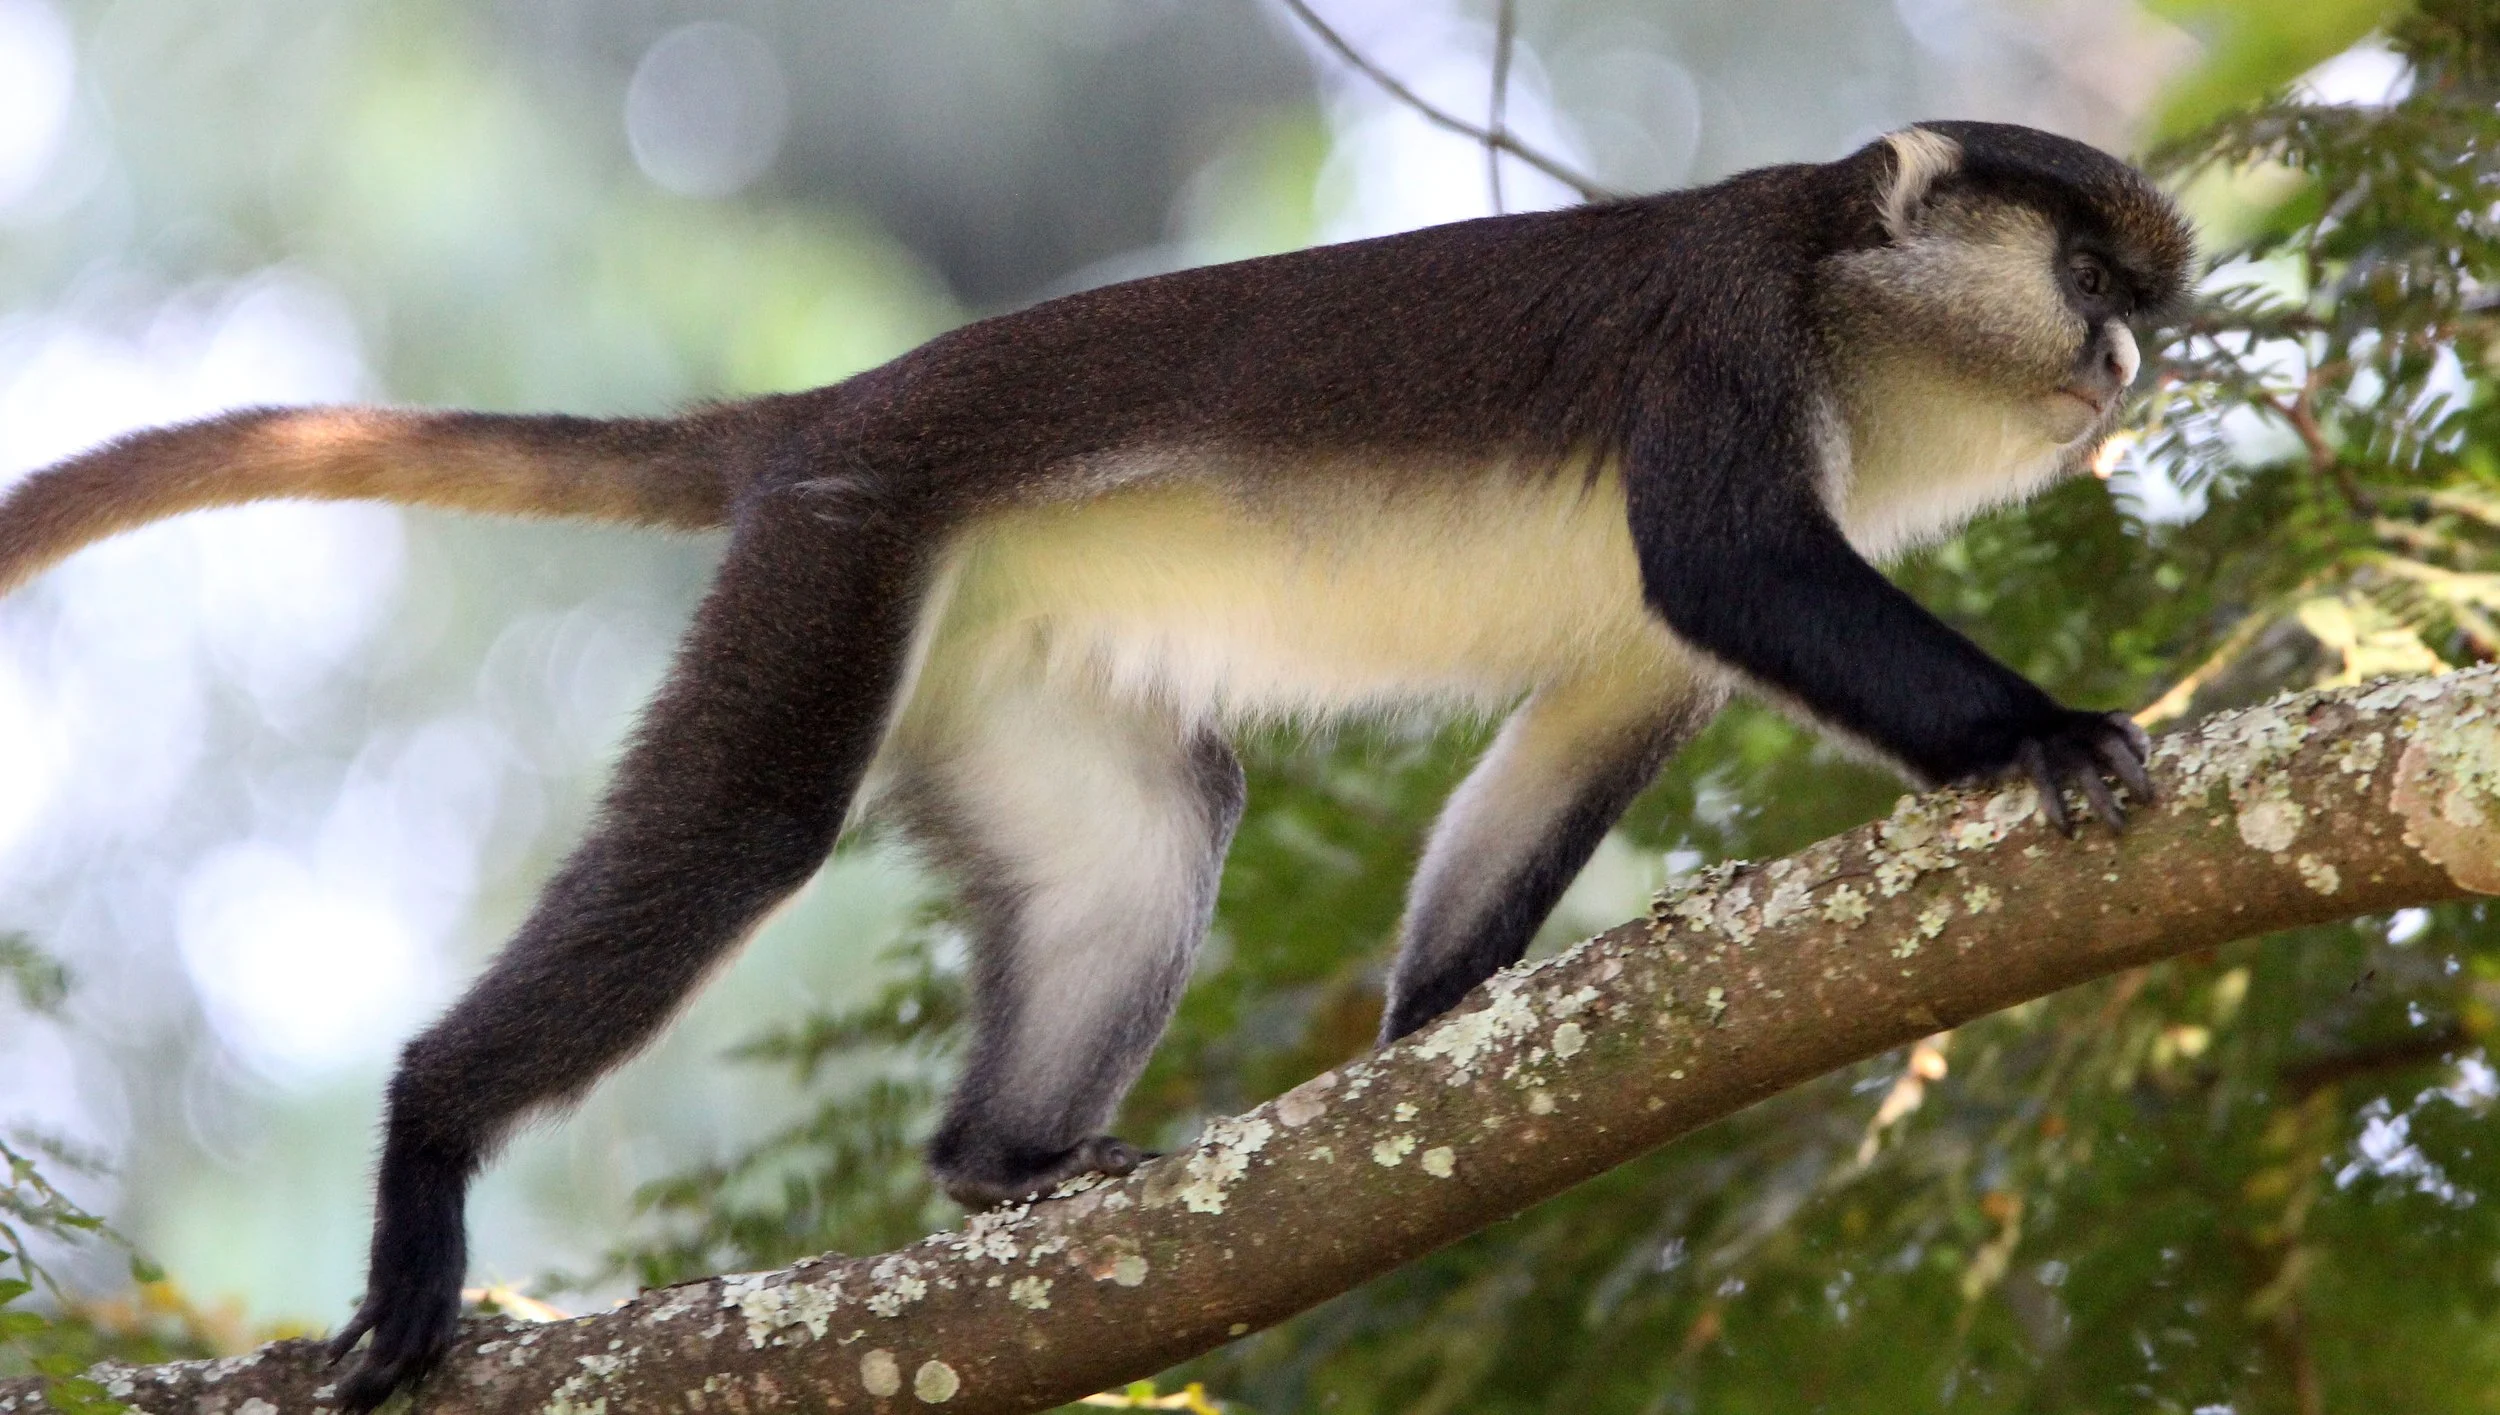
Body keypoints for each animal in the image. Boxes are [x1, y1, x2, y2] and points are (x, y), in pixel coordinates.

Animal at [0, 120, 2193, 1409]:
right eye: (2086, 285)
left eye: (2137, 309)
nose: (2122, 369)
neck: (1844, 298)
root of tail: (828, 409)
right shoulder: (1720, 343)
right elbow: (1729, 564)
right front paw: (2047, 732)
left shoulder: (1655, 624)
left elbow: (1593, 707)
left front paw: (1439, 1038)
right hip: (848, 542)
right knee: (742, 829)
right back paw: (433, 1133)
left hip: (990, 646)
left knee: (1147, 834)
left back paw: (1013, 1163)